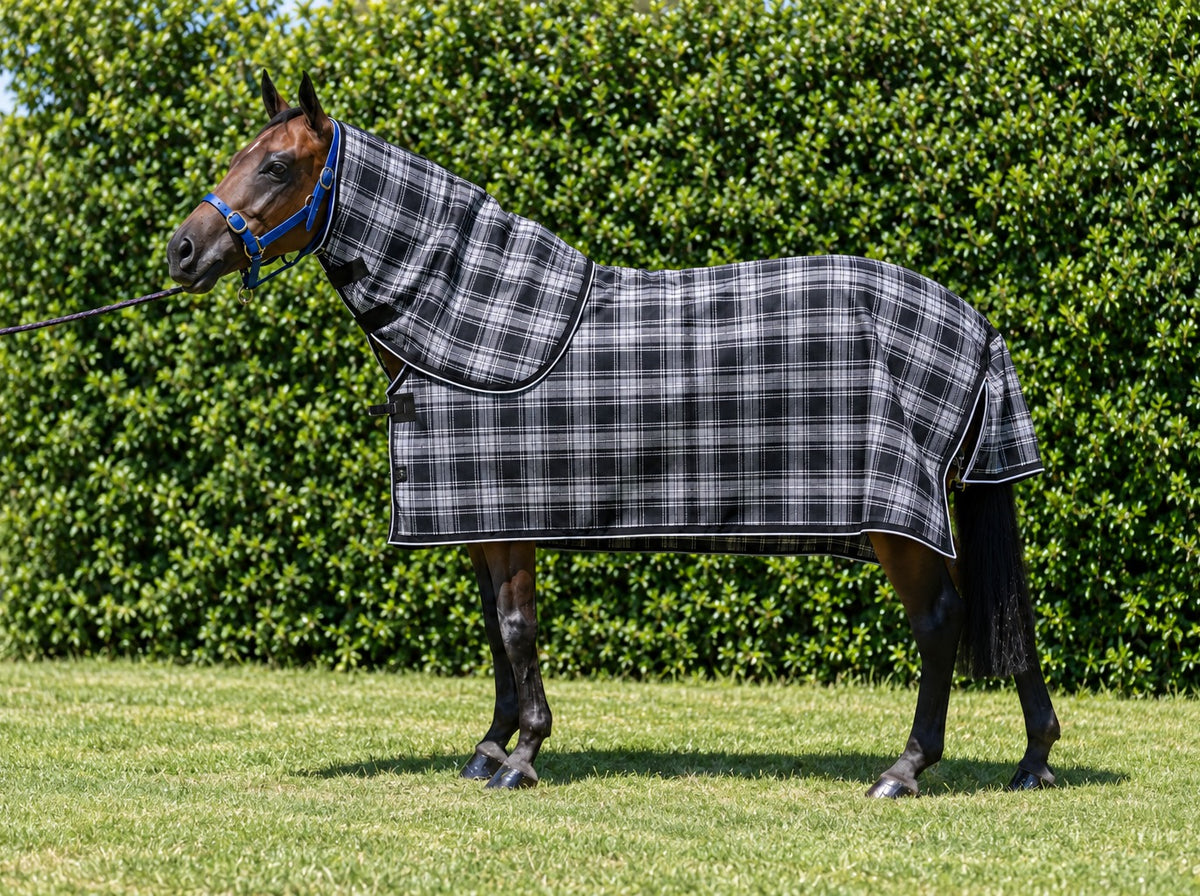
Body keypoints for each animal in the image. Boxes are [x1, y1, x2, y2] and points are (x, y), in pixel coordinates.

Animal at [167, 72, 1060, 797]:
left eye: (276, 166)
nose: (181, 251)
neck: (471, 320)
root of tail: (977, 326)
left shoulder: (511, 520)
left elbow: (518, 629)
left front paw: (524, 756)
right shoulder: (483, 521)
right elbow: (495, 630)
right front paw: (490, 747)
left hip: (897, 524)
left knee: (940, 622)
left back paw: (905, 769)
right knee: (1000, 610)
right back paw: (1035, 758)